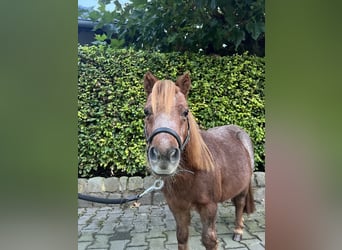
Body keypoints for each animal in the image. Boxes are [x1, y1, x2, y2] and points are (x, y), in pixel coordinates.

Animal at [142, 71, 254, 249]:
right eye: (147, 112)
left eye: (185, 112)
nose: (164, 156)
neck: (191, 174)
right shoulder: (178, 208)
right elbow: (182, 237)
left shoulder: (209, 207)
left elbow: (209, 240)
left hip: (243, 187)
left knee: (240, 204)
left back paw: (238, 230)